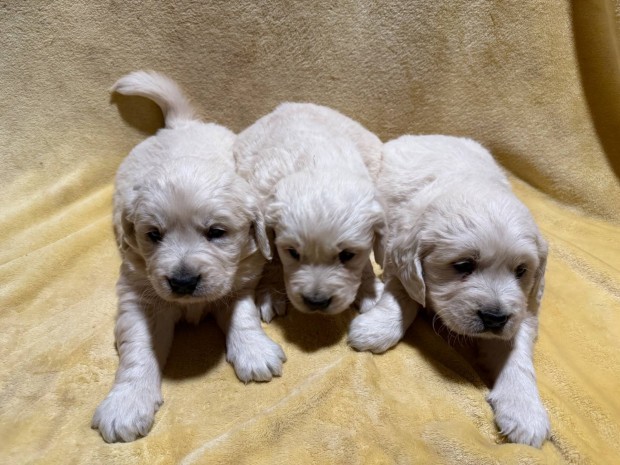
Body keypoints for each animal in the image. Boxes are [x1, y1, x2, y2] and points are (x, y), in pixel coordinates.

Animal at [92, 71, 286, 443]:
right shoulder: (139, 294)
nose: (182, 282)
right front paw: (126, 403)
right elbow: (139, 348)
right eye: (153, 235)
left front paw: (254, 351)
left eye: (217, 232)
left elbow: (243, 314)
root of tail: (180, 125)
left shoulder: (238, 278)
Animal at [234, 103, 385, 321]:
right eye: (293, 252)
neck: (313, 163)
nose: (316, 302)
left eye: (347, 255)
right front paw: (270, 292)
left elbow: (365, 262)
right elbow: (271, 258)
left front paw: (367, 288)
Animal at [348, 135, 550, 447]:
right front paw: (375, 329)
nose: (494, 318)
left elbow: (516, 351)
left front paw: (525, 411)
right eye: (463, 265)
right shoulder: (399, 256)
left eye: (521, 271)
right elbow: (402, 296)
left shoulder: (524, 306)